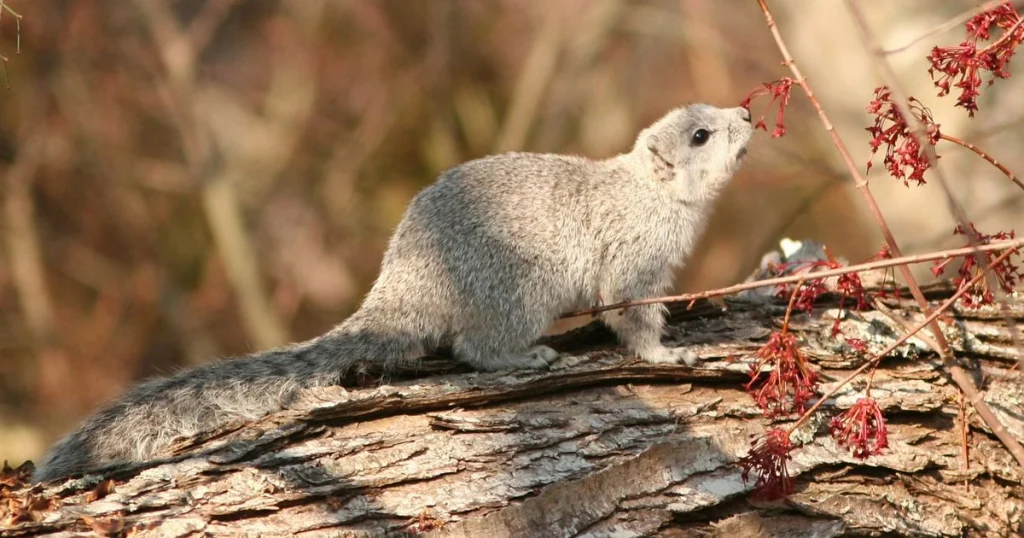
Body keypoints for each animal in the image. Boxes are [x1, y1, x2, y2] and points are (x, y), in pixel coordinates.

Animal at [34, 103, 754, 482]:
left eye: (715, 114)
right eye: (700, 135)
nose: (747, 111)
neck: (651, 194)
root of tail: (405, 285)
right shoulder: (633, 267)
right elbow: (634, 320)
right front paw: (669, 354)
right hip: (516, 293)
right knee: (474, 347)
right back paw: (527, 356)